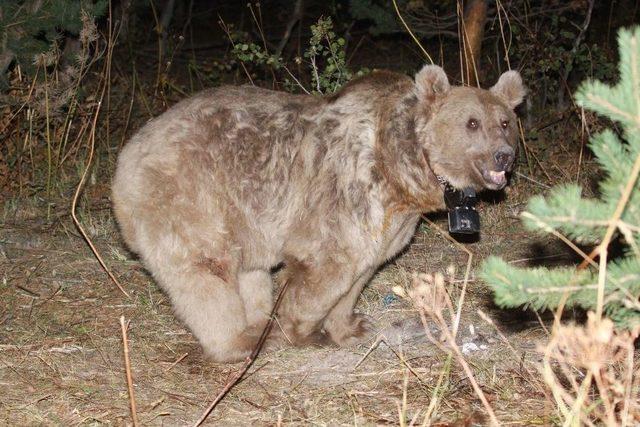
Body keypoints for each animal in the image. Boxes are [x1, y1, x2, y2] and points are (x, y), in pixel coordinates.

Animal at [111, 65, 524, 362]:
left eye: (505, 122)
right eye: (472, 122)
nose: (503, 156)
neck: (402, 169)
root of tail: (126, 157)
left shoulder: (390, 220)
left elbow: (363, 268)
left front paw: (352, 325)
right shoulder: (348, 191)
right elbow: (329, 266)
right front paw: (304, 331)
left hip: (243, 215)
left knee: (248, 269)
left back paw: (260, 321)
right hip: (191, 196)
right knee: (204, 271)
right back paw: (240, 342)